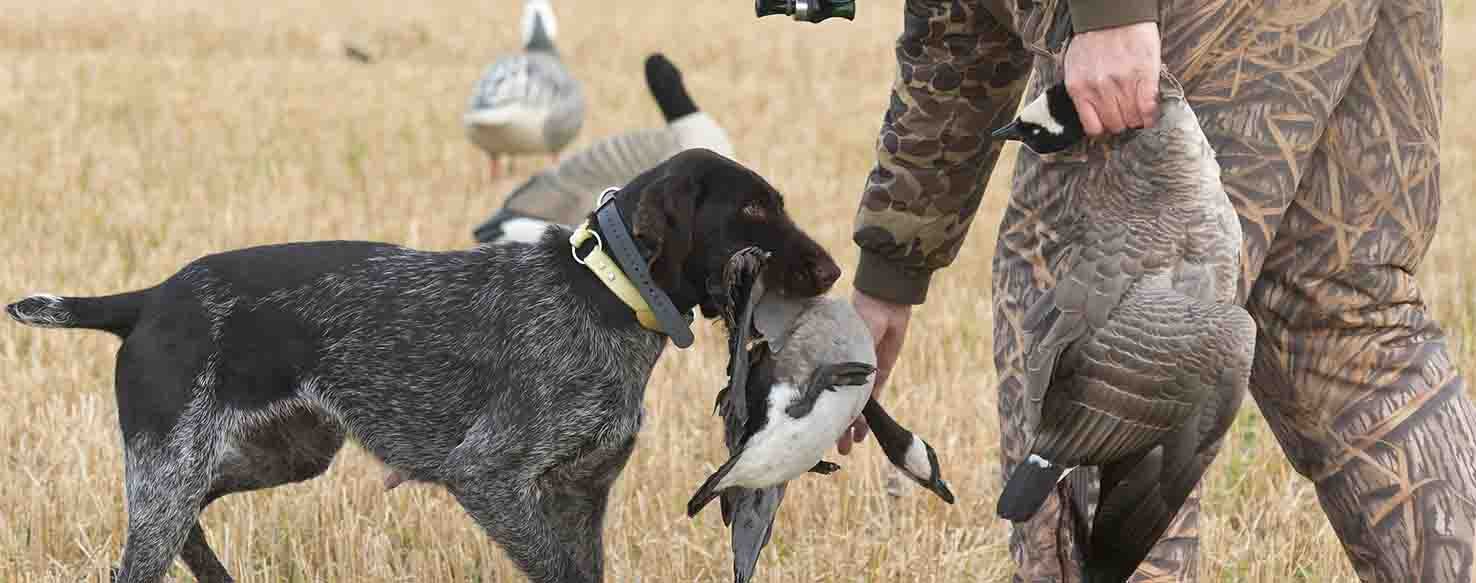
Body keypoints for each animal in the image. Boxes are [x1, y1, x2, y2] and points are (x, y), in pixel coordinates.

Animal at [5, 149, 844, 583]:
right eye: (755, 210)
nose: (836, 269)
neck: (604, 292)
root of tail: (149, 298)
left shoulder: (582, 494)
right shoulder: (487, 475)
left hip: (277, 454)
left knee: (189, 526)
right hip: (173, 468)